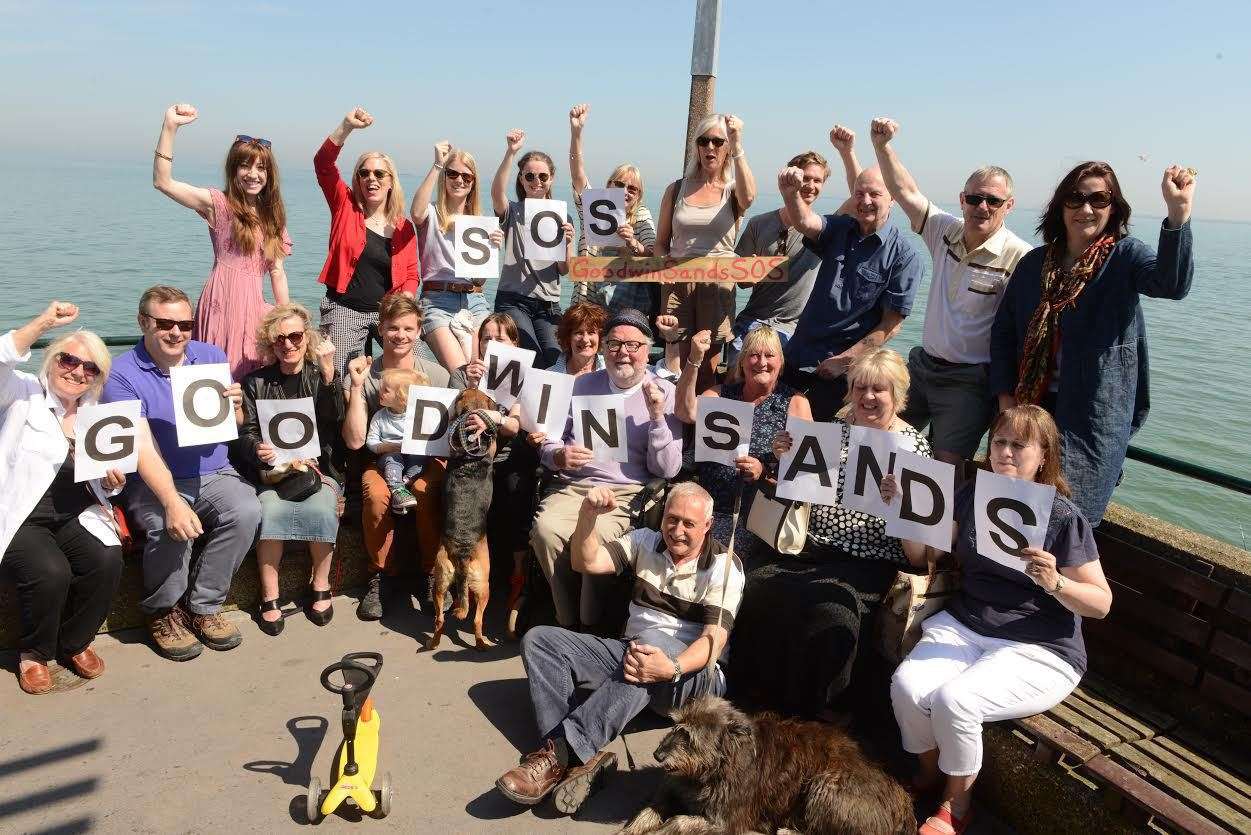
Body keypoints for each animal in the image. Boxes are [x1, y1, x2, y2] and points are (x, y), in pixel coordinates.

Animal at [422, 388, 495, 655]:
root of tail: (462, 553)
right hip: (484, 585)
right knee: (477, 620)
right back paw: (482, 645)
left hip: (440, 580)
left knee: (439, 620)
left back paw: (432, 643)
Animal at [620, 696, 915, 835]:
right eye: (674, 725)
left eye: (689, 737)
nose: (658, 755)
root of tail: (903, 802)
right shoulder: (671, 792)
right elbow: (648, 811)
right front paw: (629, 829)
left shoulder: (725, 821)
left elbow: (678, 822)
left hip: (826, 784)